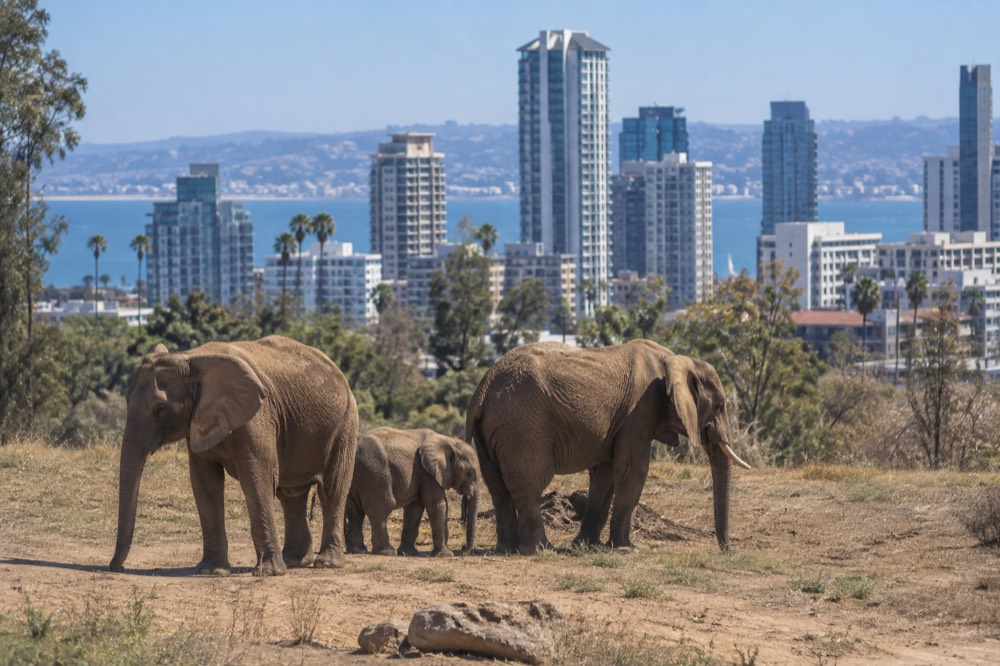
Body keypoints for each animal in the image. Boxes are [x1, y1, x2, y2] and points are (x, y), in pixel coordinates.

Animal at [109, 335, 359, 576]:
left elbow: (257, 478)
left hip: (345, 424)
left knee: (331, 490)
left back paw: (326, 563)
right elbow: (205, 483)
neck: (192, 359)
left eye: (160, 409)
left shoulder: (258, 416)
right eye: (126, 399)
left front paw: (269, 573)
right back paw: (294, 561)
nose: (116, 567)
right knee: (291, 495)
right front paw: (211, 571)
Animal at [345, 427, 479, 557]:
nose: (463, 548)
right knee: (382, 508)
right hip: (375, 473)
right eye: (469, 473)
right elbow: (436, 505)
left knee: (354, 513)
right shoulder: (428, 473)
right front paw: (445, 555)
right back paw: (387, 552)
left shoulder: (420, 474)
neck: (449, 440)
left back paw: (357, 550)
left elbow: (414, 508)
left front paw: (408, 553)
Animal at [465, 339, 750, 555]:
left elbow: (606, 473)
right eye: (719, 406)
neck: (675, 359)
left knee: (498, 488)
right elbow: (632, 470)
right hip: (522, 427)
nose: (728, 551)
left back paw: (507, 548)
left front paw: (587, 546)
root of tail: (482, 389)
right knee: (530, 484)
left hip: (493, 432)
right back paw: (541, 549)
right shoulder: (640, 410)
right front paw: (627, 550)